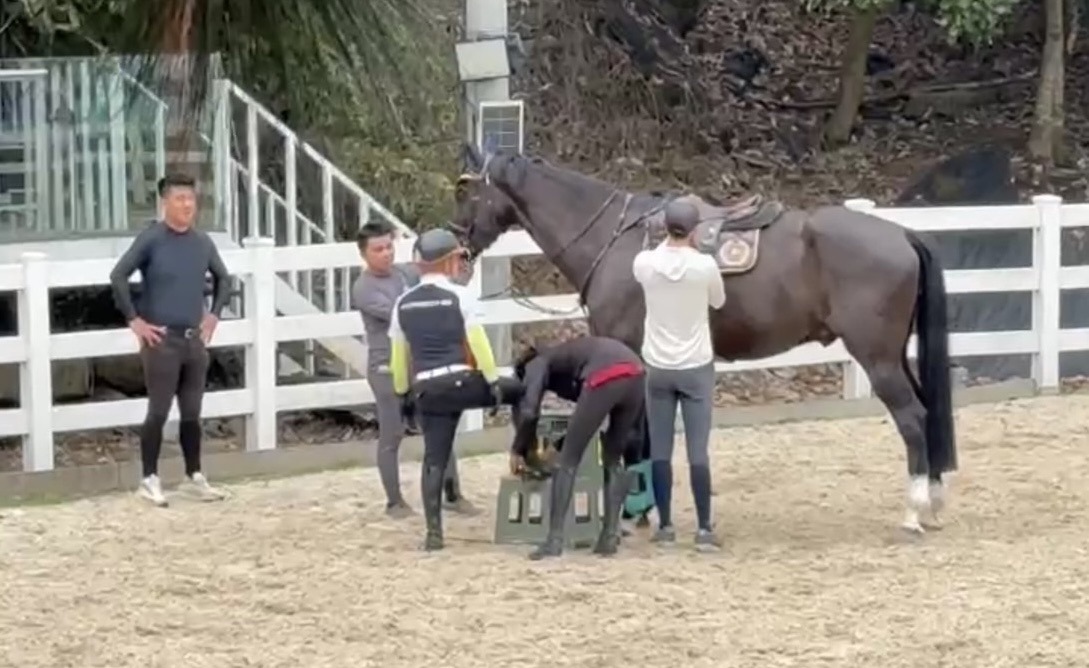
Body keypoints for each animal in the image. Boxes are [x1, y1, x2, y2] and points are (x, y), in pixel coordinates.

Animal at [450, 144, 957, 535]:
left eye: (466, 190)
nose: (457, 242)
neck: (615, 239)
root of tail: (903, 234)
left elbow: (637, 436)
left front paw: (638, 510)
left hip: (877, 358)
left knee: (912, 417)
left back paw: (914, 511)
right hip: (894, 356)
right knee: (927, 411)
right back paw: (933, 501)